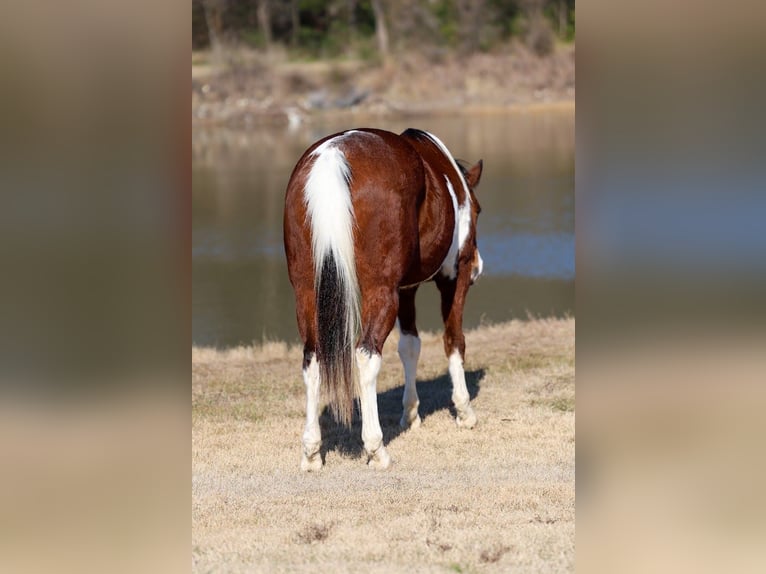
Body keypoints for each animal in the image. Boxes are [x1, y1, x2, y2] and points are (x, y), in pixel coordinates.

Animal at [283, 128, 483, 471]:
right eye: (479, 210)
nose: (480, 268)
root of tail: (332, 157)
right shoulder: (454, 276)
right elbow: (454, 341)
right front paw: (464, 411)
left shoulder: (406, 288)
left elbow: (410, 346)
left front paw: (411, 413)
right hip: (381, 292)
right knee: (366, 356)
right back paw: (376, 449)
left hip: (306, 293)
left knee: (313, 360)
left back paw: (311, 453)